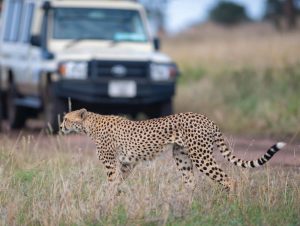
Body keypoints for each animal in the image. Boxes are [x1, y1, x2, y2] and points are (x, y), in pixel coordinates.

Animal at [59, 108, 286, 192]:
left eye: (66, 118)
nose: (60, 127)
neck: (90, 123)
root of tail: (206, 118)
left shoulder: (111, 163)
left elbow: (111, 181)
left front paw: (108, 200)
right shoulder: (126, 163)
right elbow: (117, 182)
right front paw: (114, 197)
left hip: (201, 156)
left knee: (229, 180)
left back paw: (231, 204)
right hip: (182, 157)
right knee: (191, 183)